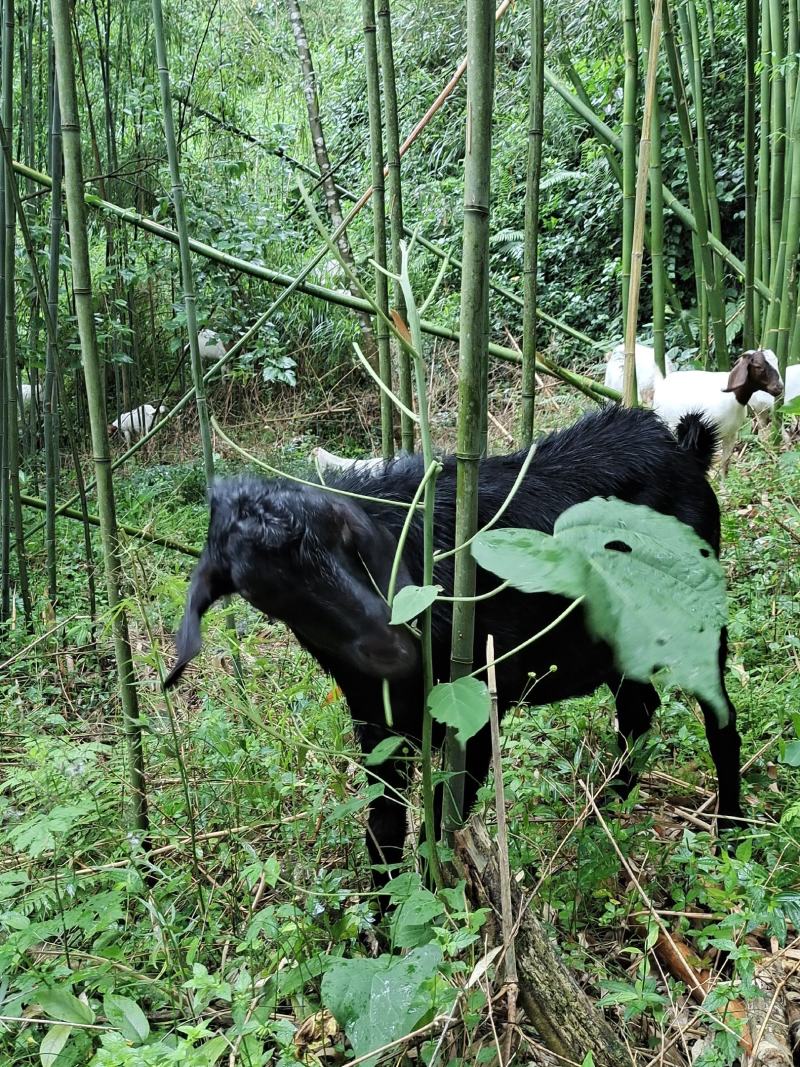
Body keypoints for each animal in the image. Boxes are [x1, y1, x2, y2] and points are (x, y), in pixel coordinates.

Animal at [167, 407, 746, 883]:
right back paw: (604, 813)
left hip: (696, 614)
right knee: (638, 709)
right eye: (263, 587)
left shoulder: (477, 694)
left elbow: (445, 813)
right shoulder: (374, 718)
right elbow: (383, 824)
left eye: (343, 535)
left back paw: (729, 834)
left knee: (718, 716)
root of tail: (684, 448)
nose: (393, 644)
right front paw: (387, 928)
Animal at [652, 349, 785, 475]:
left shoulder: (731, 434)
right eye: (758, 366)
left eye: (777, 362)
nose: (779, 388)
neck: (732, 397)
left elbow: (725, 464)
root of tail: (663, 382)